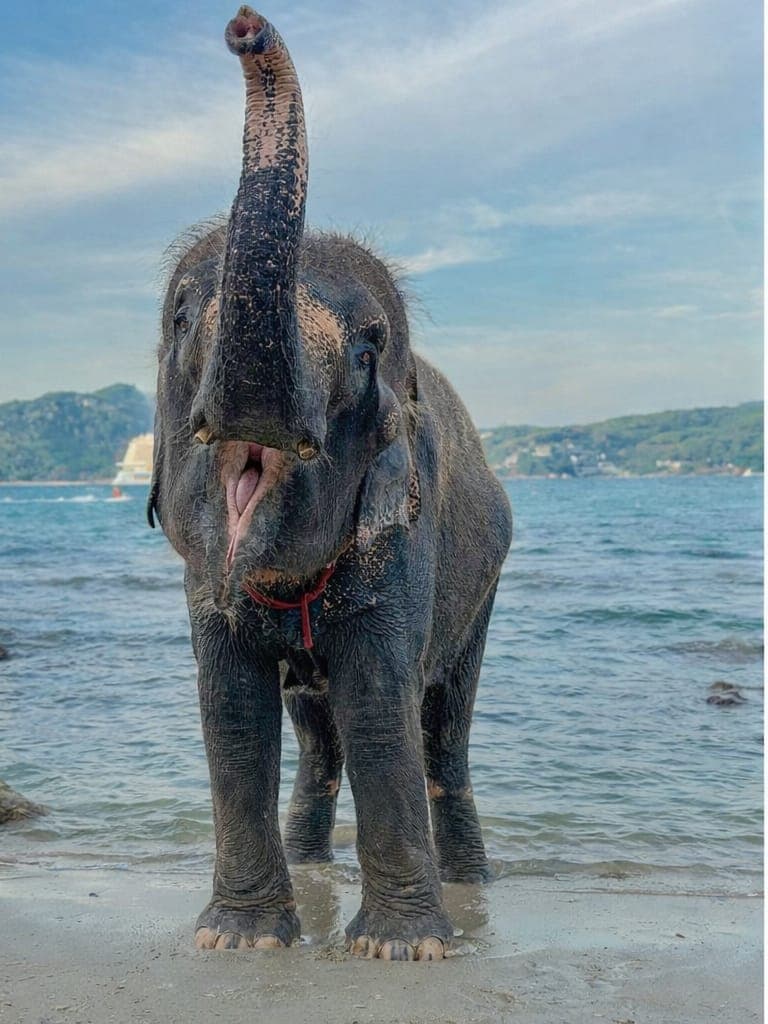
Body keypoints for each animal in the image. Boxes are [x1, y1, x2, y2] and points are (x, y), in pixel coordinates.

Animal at [149, 6, 512, 962]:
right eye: (181, 319)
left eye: (365, 350)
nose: (244, 26)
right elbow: (232, 707)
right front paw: (240, 941)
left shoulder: (405, 541)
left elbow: (380, 698)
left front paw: (402, 948)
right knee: (318, 738)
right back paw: (314, 869)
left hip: (484, 589)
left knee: (442, 732)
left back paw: (472, 887)